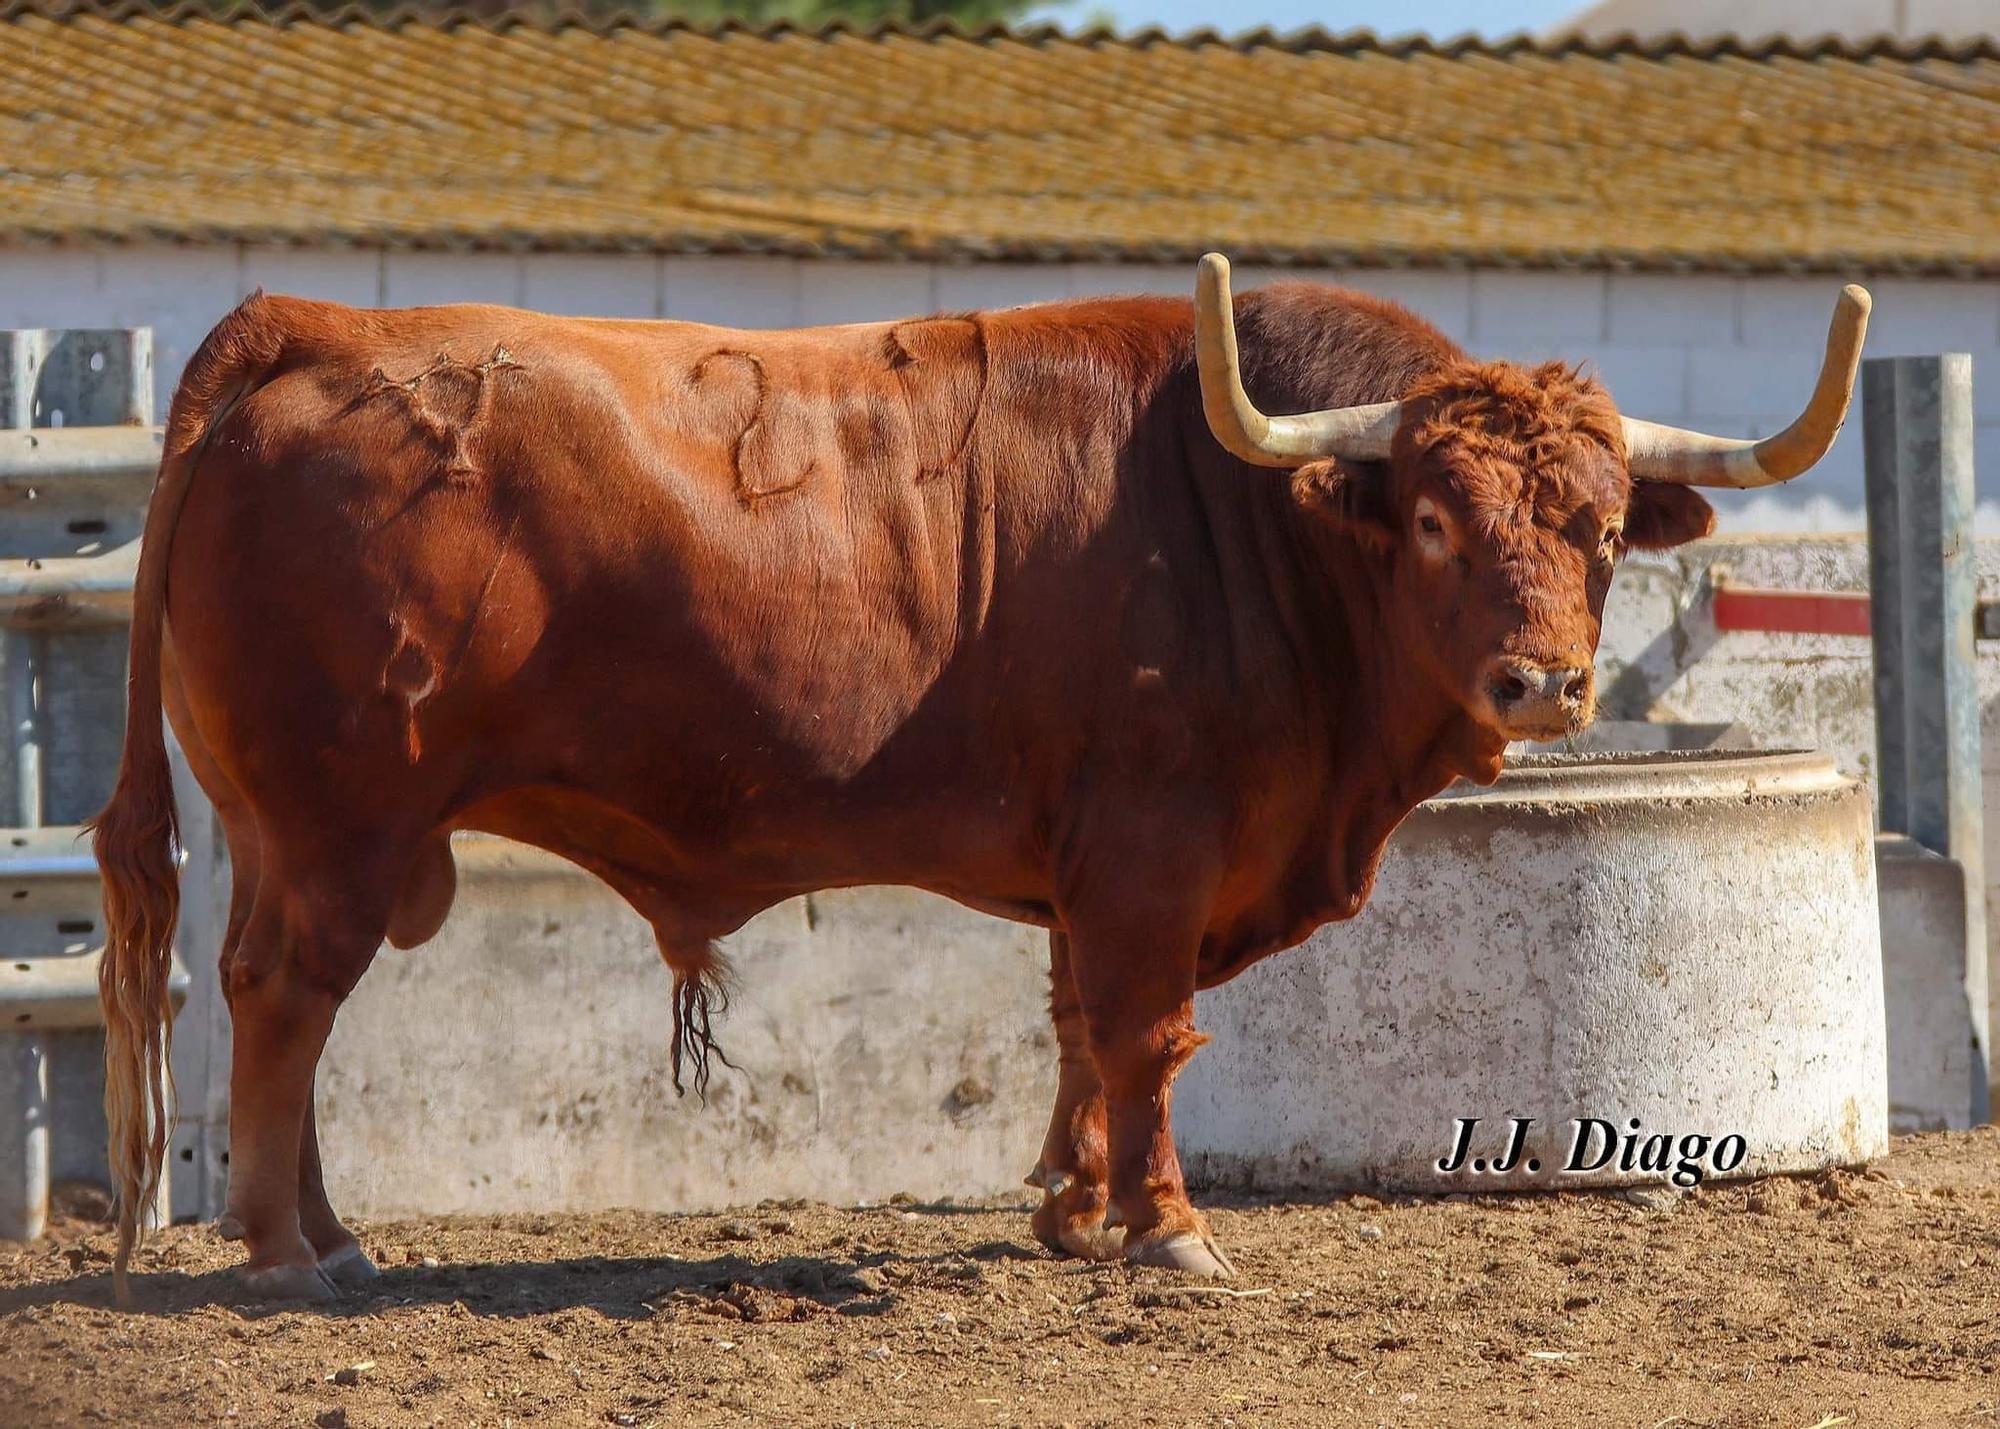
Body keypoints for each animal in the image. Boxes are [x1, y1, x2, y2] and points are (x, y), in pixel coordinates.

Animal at [90, 250, 1872, 1296]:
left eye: (1599, 527)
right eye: (1433, 517)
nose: (1545, 680)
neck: (1246, 518)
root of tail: (324, 330)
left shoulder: (1088, 863)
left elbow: (1079, 1024)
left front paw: (1072, 1208)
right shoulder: (1152, 847)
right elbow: (1148, 1031)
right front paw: (1166, 1228)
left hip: (293, 828)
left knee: (277, 1002)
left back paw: (326, 1229)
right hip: (338, 818)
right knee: (280, 997)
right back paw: (282, 1250)